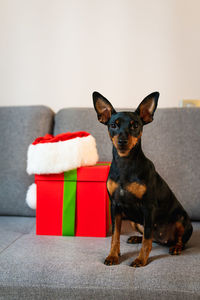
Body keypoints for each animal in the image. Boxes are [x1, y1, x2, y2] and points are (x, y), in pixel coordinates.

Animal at [93, 91, 193, 268]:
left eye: (135, 126)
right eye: (113, 125)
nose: (122, 141)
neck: (125, 163)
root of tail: (165, 239)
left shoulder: (148, 207)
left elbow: (147, 238)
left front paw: (141, 259)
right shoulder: (115, 206)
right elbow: (115, 236)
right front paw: (113, 255)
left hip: (181, 219)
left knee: (172, 239)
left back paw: (176, 247)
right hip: (135, 221)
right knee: (152, 237)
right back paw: (136, 238)